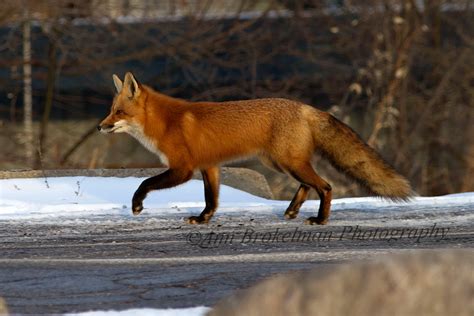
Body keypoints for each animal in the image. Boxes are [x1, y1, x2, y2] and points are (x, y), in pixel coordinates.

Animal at [99, 72, 412, 225]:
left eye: (118, 112)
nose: (100, 127)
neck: (165, 122)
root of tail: (306, 107)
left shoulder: (183, 168)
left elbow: (144, 182)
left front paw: (137, 205)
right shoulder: (209, 166)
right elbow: (212, 199)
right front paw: (203, 219)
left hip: (289, 163)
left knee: (325, 186)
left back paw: (321, 220)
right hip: (281, 164)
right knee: (307, 185)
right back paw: (291, 211)